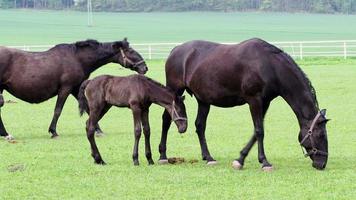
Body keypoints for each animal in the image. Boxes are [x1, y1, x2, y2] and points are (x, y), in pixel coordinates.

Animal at [0, 38, 147, 140]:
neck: (77, 58)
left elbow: (88, 109)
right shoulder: (66, 89)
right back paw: (6, 134)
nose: (144, 67)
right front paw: (53, 131)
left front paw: (97, 130)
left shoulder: (76, 89)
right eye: (130, 51)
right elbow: (58, 110)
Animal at [160, 38, 330, 170]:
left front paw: (240, 159)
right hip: (175, 90)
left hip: (203, 100)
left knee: (200, 125)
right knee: (167, 119)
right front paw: (264, 162)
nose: (321, 164)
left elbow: (256, 131)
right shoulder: (254, 100)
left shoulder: (264, 102)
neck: (269, 65)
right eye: (321, 134)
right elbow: (260, 131)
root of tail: (176, 50)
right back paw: (162, 155)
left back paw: (208, 157)